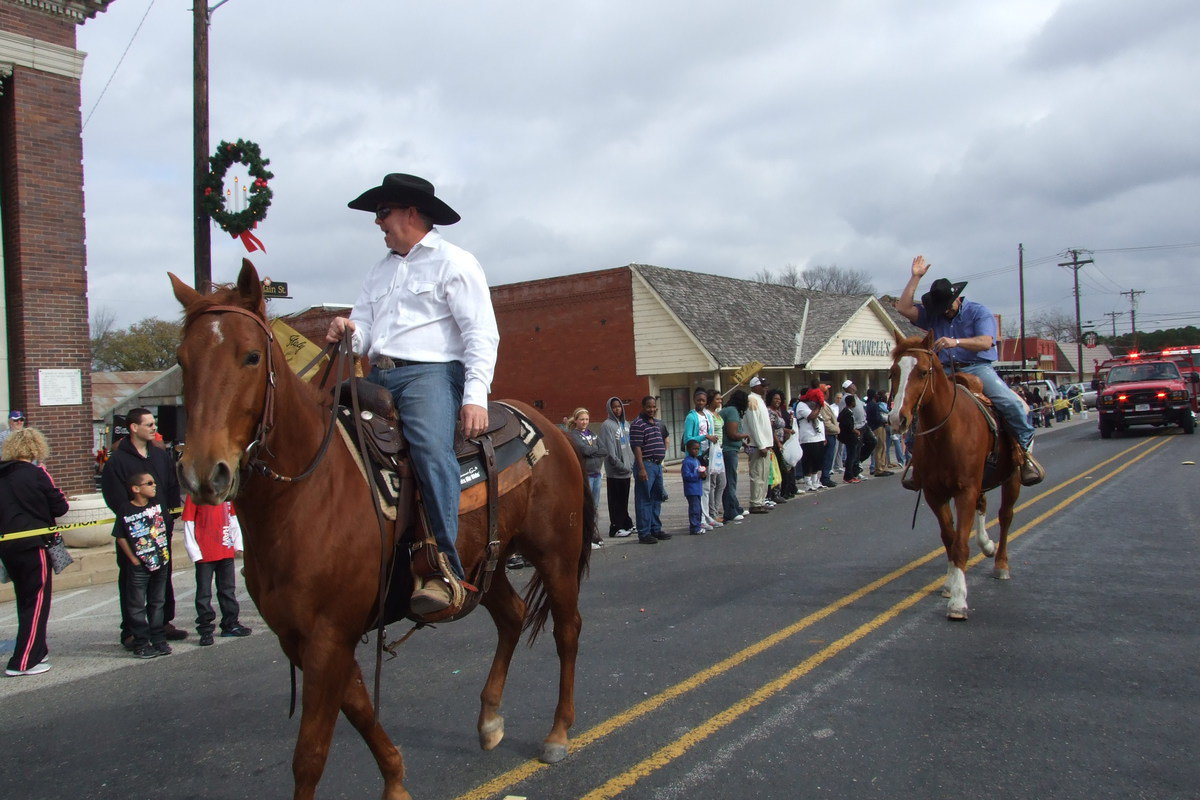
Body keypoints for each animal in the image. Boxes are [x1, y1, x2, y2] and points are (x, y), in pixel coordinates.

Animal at [171, 267, 592, 800]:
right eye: (182, 360)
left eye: (250, 356)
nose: (204, 474)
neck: (306, 493)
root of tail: (553, 429)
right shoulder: (305, 638)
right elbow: (360, 708)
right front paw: (395, 780)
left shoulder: (328, 636)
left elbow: (311, 755)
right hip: (484, 562)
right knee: (513, 616)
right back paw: (489, 720)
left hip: (556, 553)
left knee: (567, 629)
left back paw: (558, 732)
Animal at [888, 328, 1017, 623]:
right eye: (892, 373)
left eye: (923, 372)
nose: (897, 419)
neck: (945, 434)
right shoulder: (935, 493)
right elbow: (949, 537)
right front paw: (949, 585)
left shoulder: (965, 490)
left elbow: (960, 543)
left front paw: (958, 601)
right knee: (984, 506)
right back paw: (987, 545)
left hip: (1012, 478)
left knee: (1006, 516)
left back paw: (1001, 563)